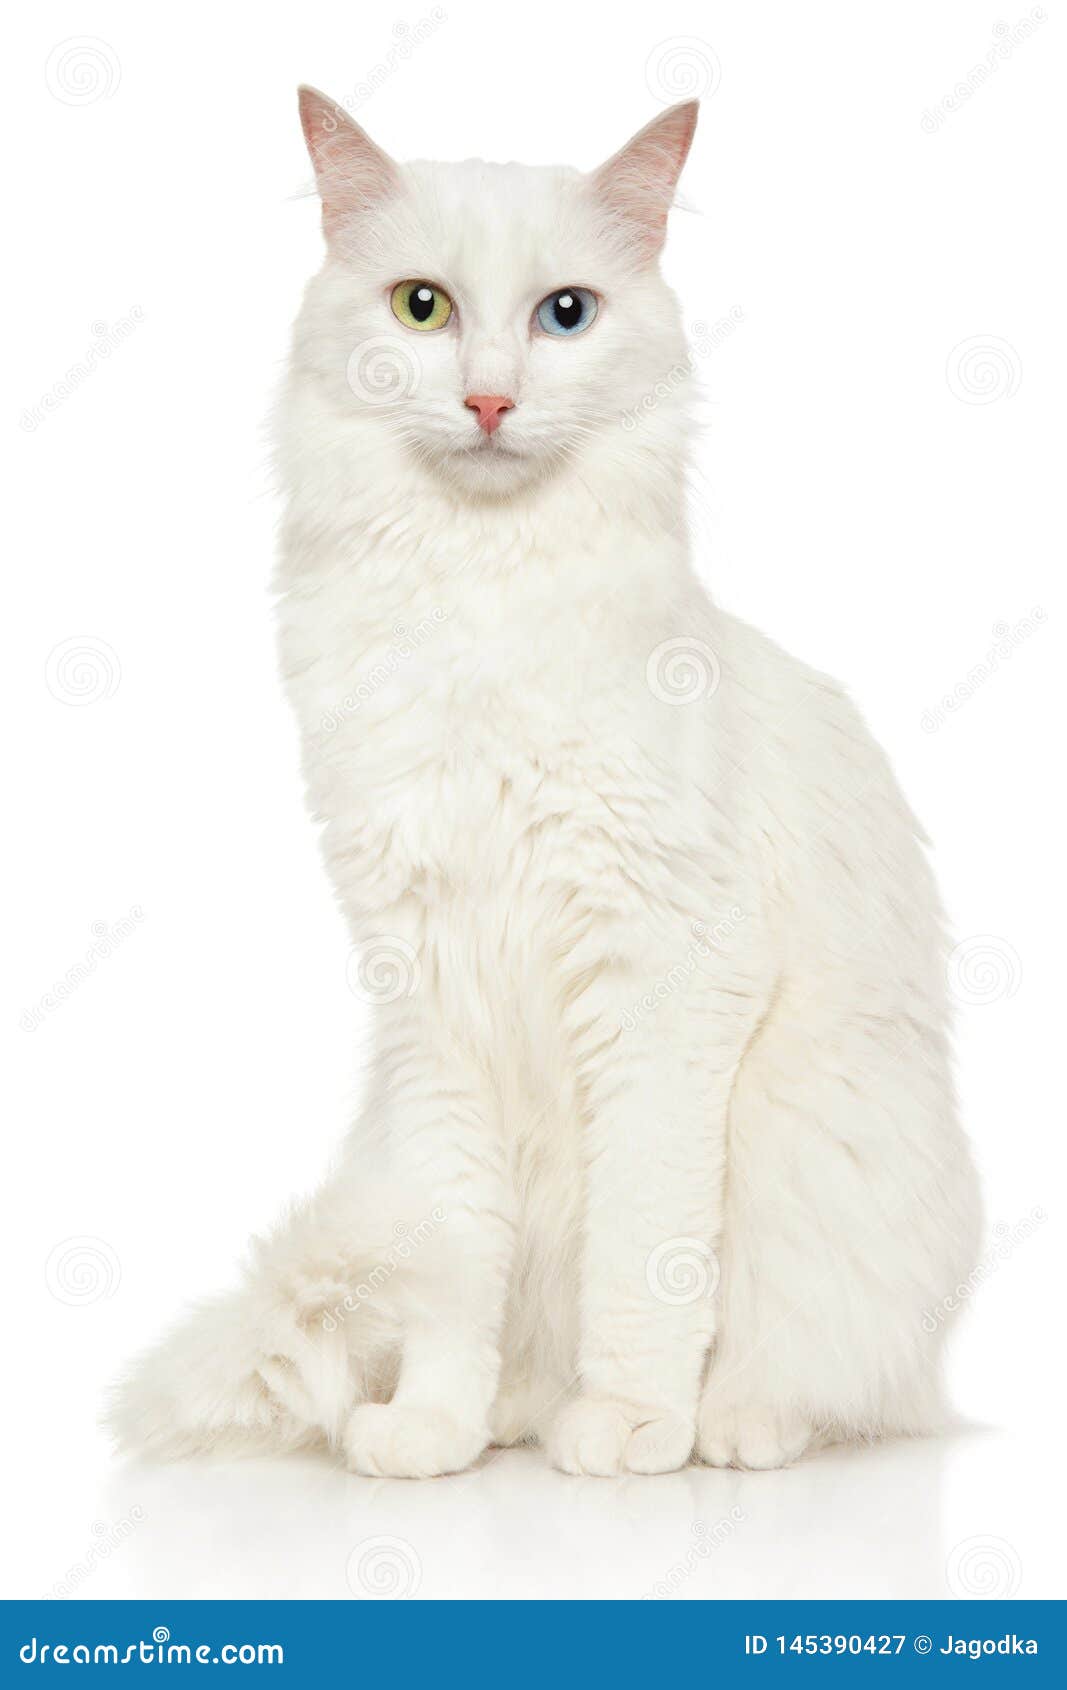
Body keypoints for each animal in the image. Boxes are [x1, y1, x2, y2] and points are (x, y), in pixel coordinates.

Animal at [110, 92, 987, 1473]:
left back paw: (727, 1426)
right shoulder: (426, 995)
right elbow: (450, 1264)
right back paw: (513, 1413)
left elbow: (645, 1252)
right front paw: (433, 1428)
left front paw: (628, 1425)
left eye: (563, 314)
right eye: (421, 307)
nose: (485, 399)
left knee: (822, 1367)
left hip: (825, 1151)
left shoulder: (666, 976)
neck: (474, 609)